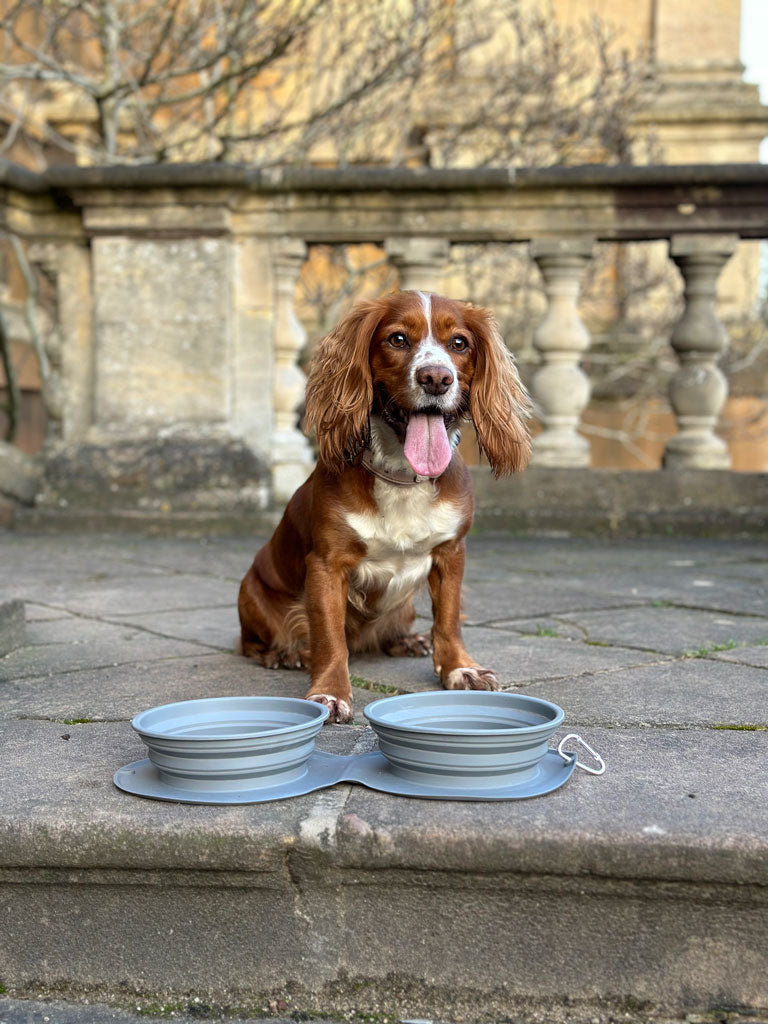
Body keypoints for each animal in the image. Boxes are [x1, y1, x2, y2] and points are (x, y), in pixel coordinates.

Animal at [237, 288, 532, 724]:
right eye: (397, 339)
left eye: (459, 343)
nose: (436, 378)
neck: (402, 476)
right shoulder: (326, 565)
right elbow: (330, 637)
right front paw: (330, 692)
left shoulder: (451, 553)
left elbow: (448, 620)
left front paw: (459, 668)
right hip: (250, 593)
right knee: (253, 643)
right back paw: (283, 653)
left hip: (405, 608)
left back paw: (407, 641)